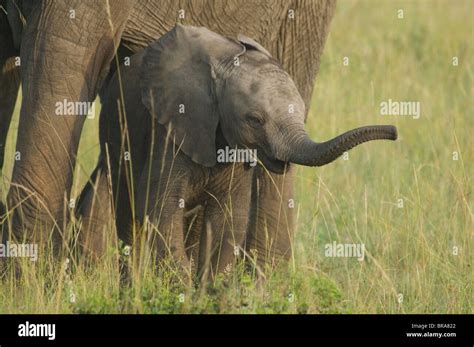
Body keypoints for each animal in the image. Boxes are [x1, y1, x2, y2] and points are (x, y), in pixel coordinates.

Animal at [78, 24, 396, 280]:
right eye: (254, 120)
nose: (393, 131)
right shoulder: (170, 130)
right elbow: (161, 208)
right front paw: (181, 290)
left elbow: (230, 217)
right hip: (116, 133)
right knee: (127, 215)